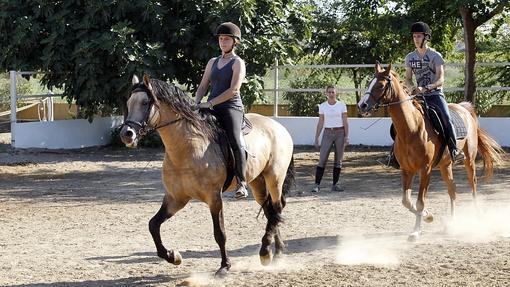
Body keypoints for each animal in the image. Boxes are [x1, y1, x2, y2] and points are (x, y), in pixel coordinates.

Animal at [120, 75, 294, 278]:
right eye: (128, 103)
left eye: (145, 102)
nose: (127, 134)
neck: (187, 148)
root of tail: (279, 126)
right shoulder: (175, 198)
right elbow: (153, 225)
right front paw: (173, 256)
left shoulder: (214, 198)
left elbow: (220, 234)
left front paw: (225, 267)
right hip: (257, 182)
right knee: (270, 211)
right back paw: (276, 252)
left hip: (274, 178)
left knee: (277, 207)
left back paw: (266, 252)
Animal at [356, 63, 504, 243]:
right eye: (370, 83)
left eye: (381, 85)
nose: (362, 105)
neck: (411, 128)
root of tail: (464, 108)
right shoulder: (407, 170)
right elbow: (407, 201)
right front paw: (428, 216)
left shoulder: (425, 170)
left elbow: (420, 201)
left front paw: (416, 231)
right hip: (445, 165)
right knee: (452, 190)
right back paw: (451, 224)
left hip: (469, 160)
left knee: (473, 185)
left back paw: (478, 217)